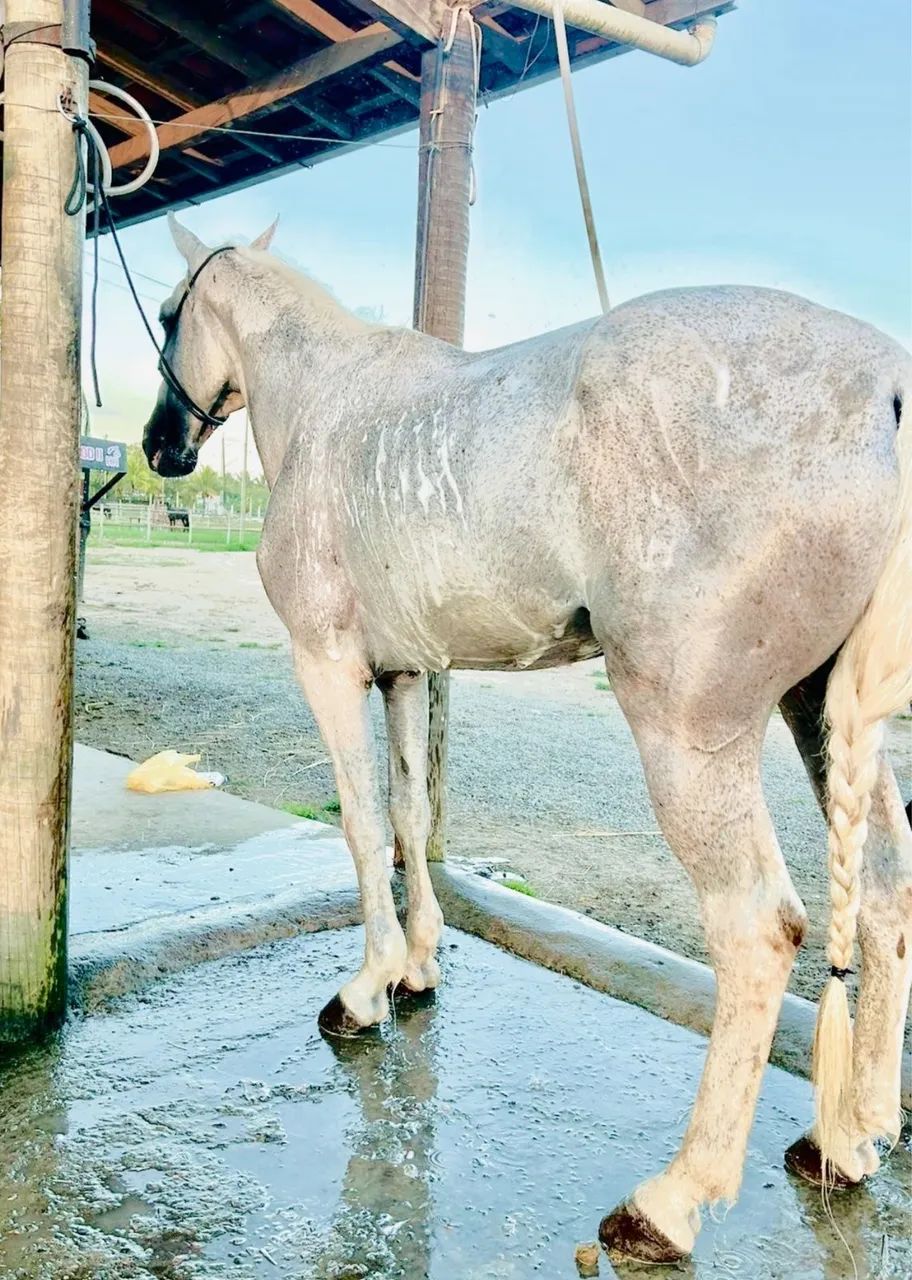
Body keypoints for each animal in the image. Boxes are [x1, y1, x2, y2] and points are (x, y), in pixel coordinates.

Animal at [141, 214, 912, 1263]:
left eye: (167, 315)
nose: (159, 446)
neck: (328, 404)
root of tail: (887, 390)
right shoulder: (407, 672)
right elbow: (408, 819)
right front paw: (418, 969)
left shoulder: (328, 667)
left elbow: (360, 824)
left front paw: (366, 991)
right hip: (821, 708)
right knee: (884, 891)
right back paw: (850, 1138)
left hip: (693, 734)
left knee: (757, 931)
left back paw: (669, 1202)